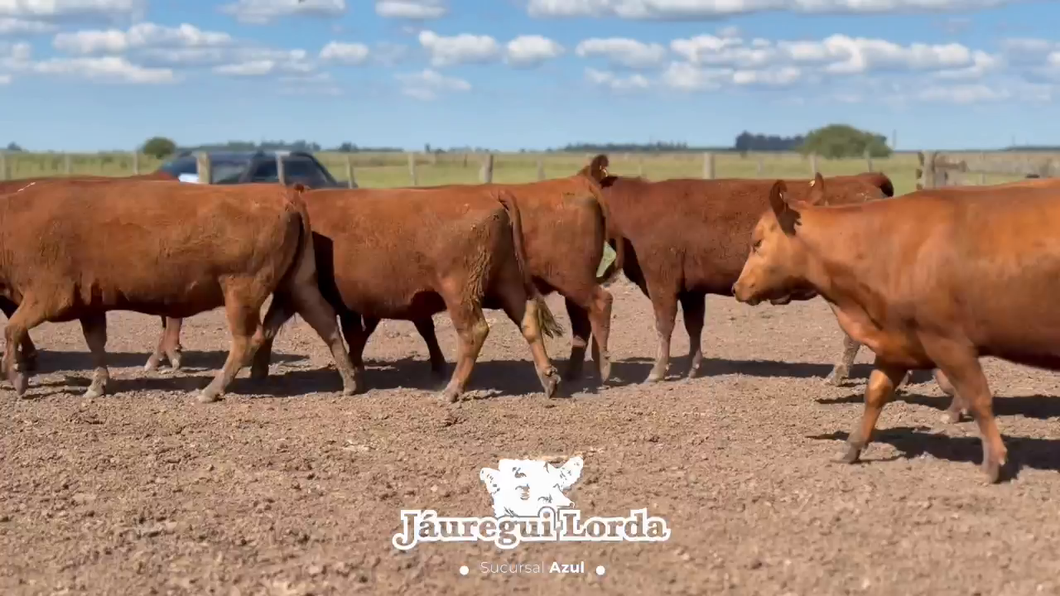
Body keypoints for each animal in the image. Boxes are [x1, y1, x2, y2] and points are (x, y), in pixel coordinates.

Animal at [0, 179, 359, 403]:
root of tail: (285, 195)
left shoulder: (46, 296)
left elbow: (12, 328)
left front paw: (16, 378)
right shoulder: (89, 302)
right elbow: (96, 343)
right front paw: (97, 385)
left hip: (241, 291)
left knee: (248, 339)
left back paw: (211, 390)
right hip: (299, 285)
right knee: (326, 323)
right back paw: (350, 382)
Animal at [246, 156, 621, 392]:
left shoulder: (317, 296)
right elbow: (281, 327)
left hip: (483, 289)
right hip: (512, 283)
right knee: (534, 321)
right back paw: (552, 379)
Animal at [596, 171, 893, 385]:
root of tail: (865, 179)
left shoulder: (661, 283)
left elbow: (663, 326)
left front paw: (656, 372)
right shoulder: (692, 290)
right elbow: (694, 327)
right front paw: (693, 367)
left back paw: (838, 374)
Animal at [731, 176, 1060, 483]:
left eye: (757, 243)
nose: (737, 287)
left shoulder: (949, 342)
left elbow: (978, 398)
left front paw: (993, 463)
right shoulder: (896, 341)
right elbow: (875, 393)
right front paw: (851, 448)